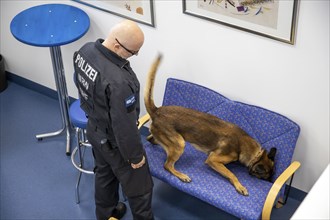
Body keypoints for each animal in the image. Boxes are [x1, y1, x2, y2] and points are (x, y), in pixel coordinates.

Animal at [144, 54, 276, 195]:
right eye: (265, 176)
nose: (271, 181)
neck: (245, 145)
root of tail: (157, 110)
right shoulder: (213, 159)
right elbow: (232, 174)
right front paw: (240, 186)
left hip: (169, 139)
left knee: (151, 139)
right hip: (180, 143)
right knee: (167, 165)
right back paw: (182, 176)